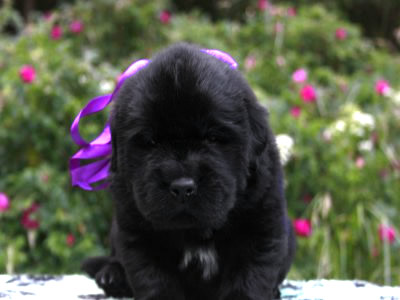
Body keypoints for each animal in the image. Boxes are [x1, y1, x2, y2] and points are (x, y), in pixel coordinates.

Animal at [81, 44, 296, 300]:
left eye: (212, 138)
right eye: (151, 141)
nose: (182, 187)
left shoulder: (261, 223)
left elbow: (250, 275)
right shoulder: (137, 230)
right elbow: (153, 276)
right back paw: (112, 276)